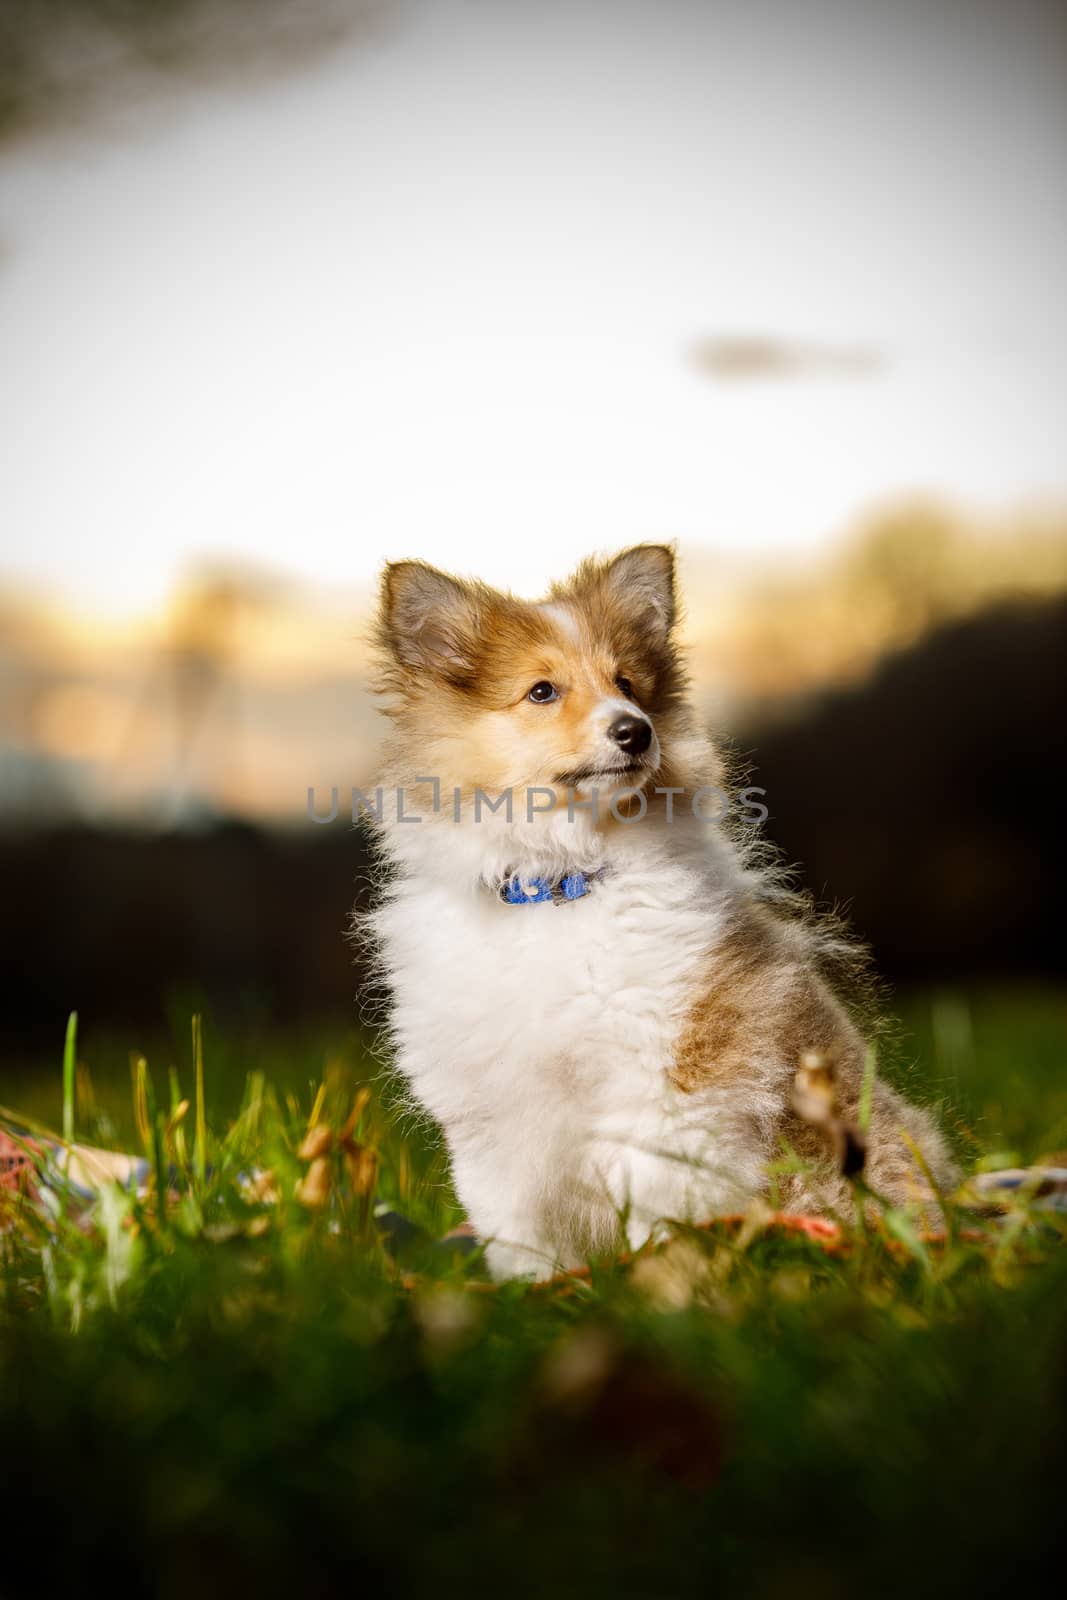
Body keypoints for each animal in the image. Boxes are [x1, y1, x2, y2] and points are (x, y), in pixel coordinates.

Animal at [363, 544, 953, 1280]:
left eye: (628, 684)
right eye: (541, 691)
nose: (635, 732)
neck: (559, 886)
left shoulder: (671, 1081)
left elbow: (659, 1211)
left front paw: (659, 1284)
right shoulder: (493, 1120)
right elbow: (519, 1236)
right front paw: (539, 1295)